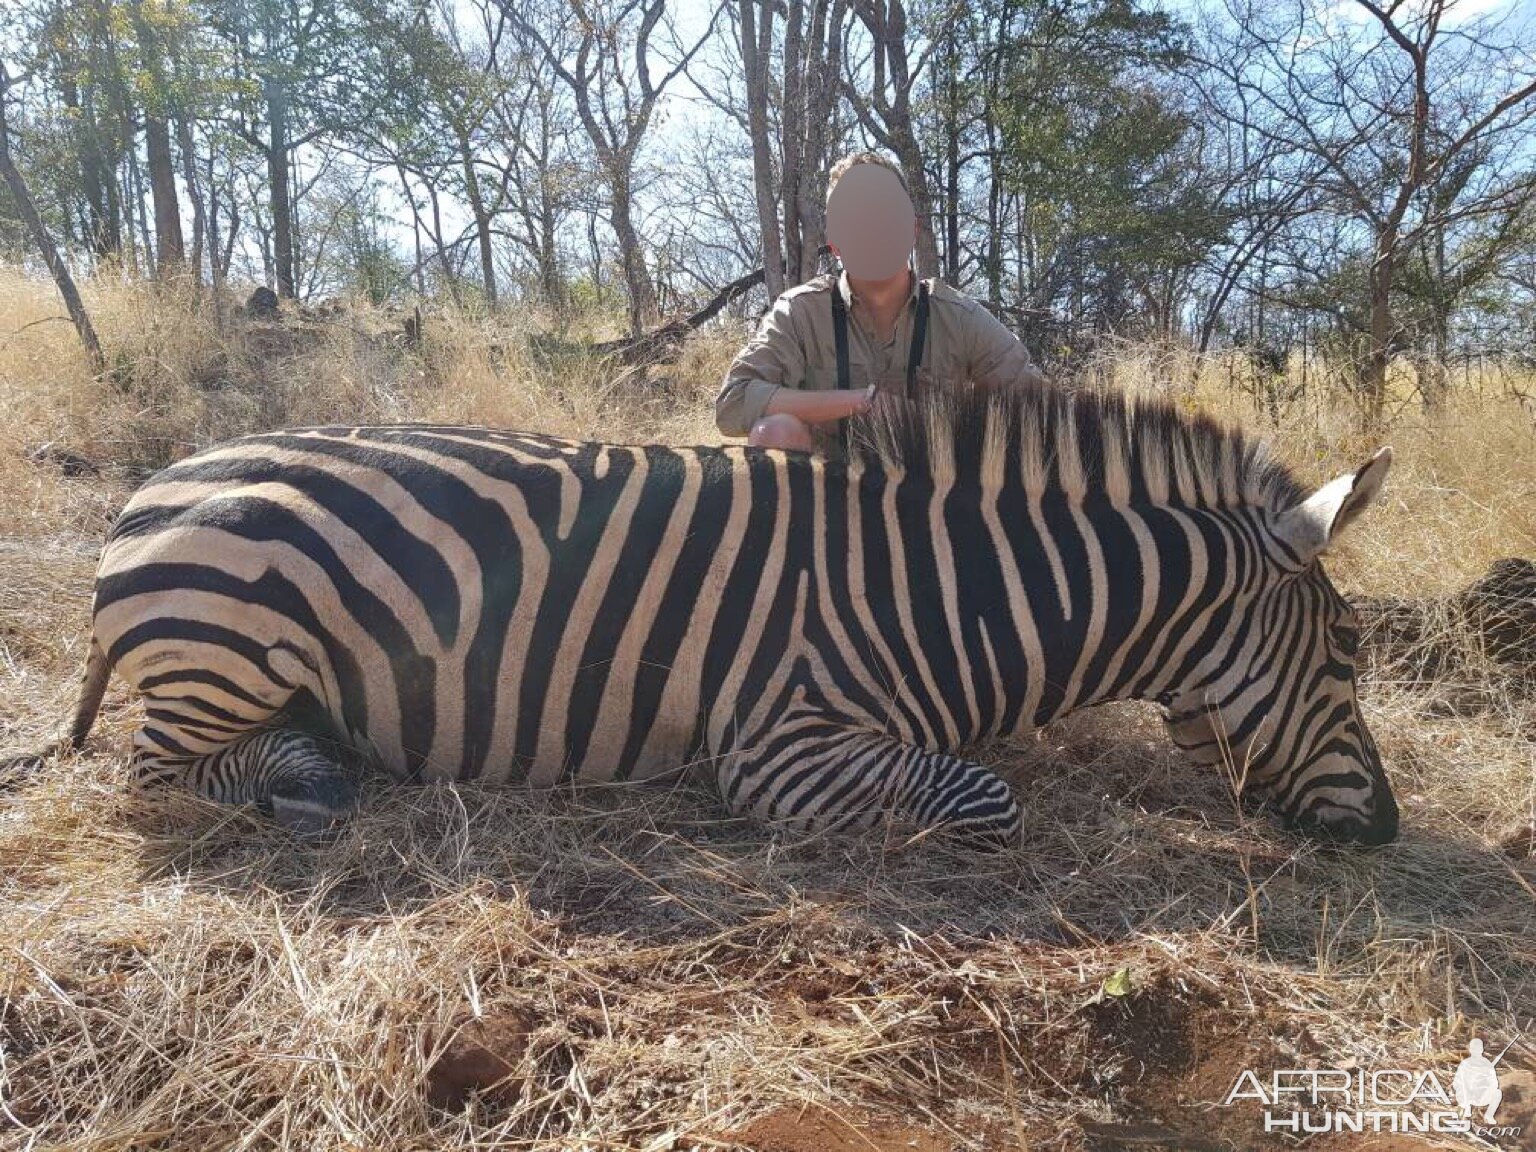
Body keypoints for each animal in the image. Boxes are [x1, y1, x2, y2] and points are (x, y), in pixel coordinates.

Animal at [9, 388, 1406, 847]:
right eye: (1347, 659)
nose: (1389, 832)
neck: (962, 595)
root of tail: (157, 480)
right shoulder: (783, 748)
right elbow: (988, 800)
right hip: (232, 645)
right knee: (156, 774)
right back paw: (307, 781)